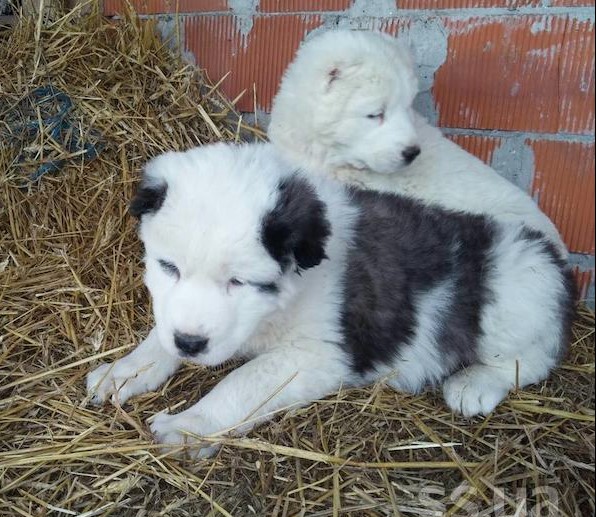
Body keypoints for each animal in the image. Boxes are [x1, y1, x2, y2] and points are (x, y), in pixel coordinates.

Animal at [86, 141, 576, 456]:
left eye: (239, 282)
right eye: (168, 267)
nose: (190, 344)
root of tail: (552, 254)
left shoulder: (316, 356)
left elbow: (243, 382)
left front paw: (189, 425)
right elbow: (159, 336)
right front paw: (125, 370)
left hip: (516, 285)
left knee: (532, 358)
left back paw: (474, 385)